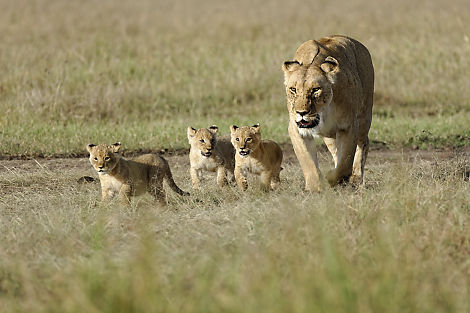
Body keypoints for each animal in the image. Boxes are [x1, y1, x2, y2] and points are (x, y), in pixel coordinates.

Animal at [282, 34, 374, 190]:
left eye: (315, 90)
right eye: (293, 89)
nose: (301, 112)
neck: (323, 112)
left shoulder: (348, 126)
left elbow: (345, 162)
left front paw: (333, 178)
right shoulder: (295, 128)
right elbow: (307, 160)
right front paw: (314, 187)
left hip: (364, 116)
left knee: (363, 144)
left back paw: (356, 178)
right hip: (329, 136)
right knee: (336, 151)